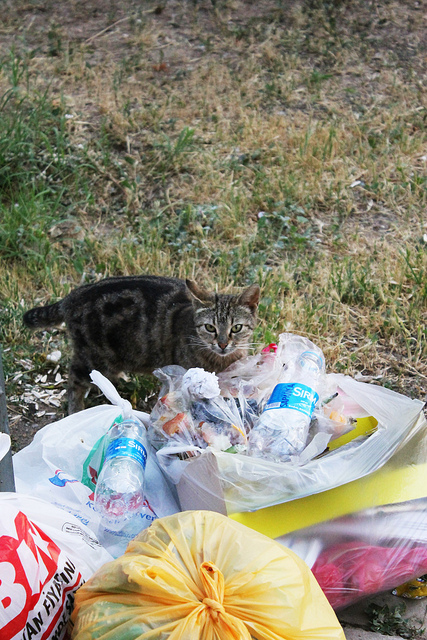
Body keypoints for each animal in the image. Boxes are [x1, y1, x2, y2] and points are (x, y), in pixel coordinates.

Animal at [25, 276, 262, 416]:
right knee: (74, 379)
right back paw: (75, 409)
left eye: (236, 328)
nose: (222, 343)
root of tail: (72, 297)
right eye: (210, 327)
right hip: (93, 357)